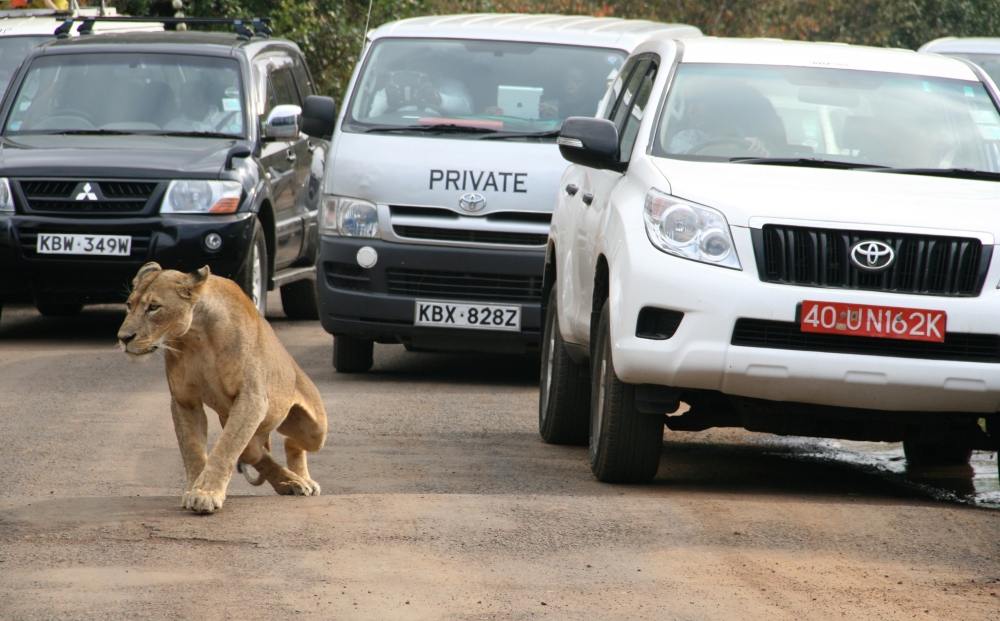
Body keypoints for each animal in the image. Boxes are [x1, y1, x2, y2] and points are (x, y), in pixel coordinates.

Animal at [117, 262, 328, 514]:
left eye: (154, 307)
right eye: (129, 305)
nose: (123, 338)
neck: (195, 335)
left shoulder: (252, 399)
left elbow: (224, 448)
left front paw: (206, 493)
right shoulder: (184, 400)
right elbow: (193, 450)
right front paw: (195, 489)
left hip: (315, 430)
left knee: (290, 443)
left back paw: (302, 480)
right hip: (244, 427)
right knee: (257, 452)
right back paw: (291, 481)